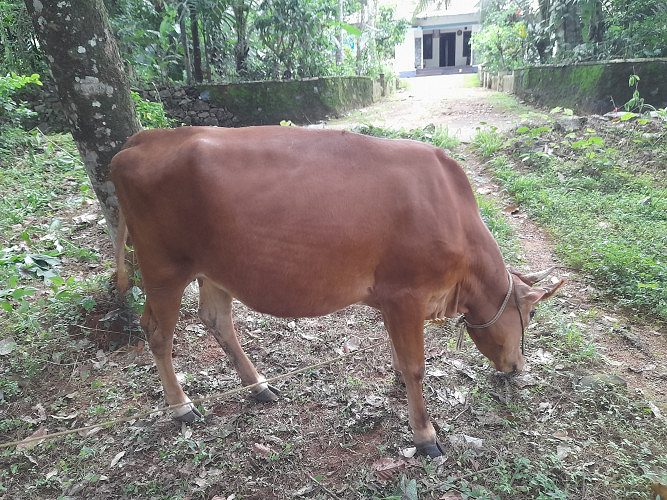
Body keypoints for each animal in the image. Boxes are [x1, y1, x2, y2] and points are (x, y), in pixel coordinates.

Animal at [110, 126, 563, 457]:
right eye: (531, 314)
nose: (518, 367)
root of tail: (142, 139)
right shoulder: (406, 293)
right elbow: (416, 365)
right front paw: (425, 434)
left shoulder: (390, 299)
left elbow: (397, 351)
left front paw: (397, 381)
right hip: (164, 270)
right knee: (157, 333)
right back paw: (181, 405)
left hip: (215, 270)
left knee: (217, 320)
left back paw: (259, 386)